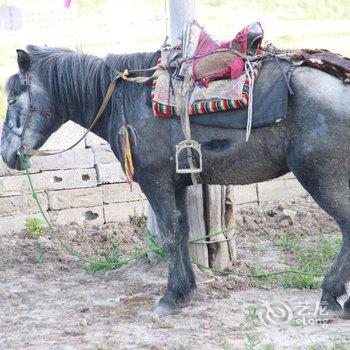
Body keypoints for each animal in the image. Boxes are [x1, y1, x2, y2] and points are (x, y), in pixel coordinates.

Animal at [0, 45, 350, 318]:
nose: (6, 153)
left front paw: (172, 296)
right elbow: (181, 232)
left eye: (13, 100)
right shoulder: (176, 184)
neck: (125, 100)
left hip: (320, 177)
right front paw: (185, 291)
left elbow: (169, 235)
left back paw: (332, 297)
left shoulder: (155, 181)